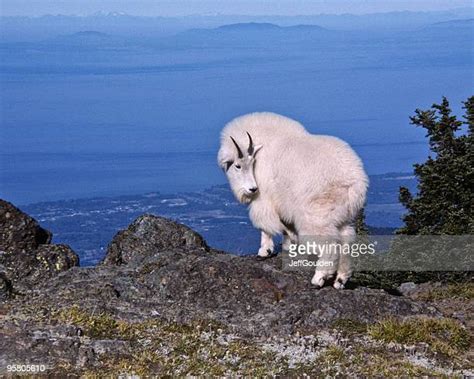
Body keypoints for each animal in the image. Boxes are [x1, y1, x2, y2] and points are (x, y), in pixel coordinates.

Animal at [217, 111, 368, 290]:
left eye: (247, 163)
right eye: (238, 166)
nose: (252, 189)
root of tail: (354, 182)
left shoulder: (265, 198)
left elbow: (264, 224)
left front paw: (264, 251)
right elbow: (286, 227)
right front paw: (289, 246)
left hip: (316, 215)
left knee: (329, 244)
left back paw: (319, 278)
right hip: (343, 216)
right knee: (347, 239)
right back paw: (340, 280)